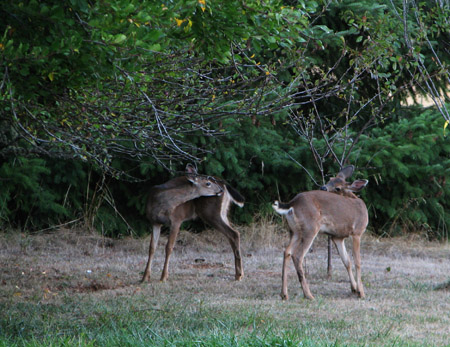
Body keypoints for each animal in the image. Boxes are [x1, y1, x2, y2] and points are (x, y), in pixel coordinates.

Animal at [272, 164, 368, 300]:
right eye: (329, 179)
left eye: (338, 187)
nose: (323, 187)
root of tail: (292, 204)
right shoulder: (357, 232)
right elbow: (357, 262)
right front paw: (361, 292)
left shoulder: (337, 237)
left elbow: (347, 261)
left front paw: (354, 289)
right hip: (310, 228)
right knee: (298, 255)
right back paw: (308, 295)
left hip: (295, 231)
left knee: (287, 251)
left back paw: (284, 294)